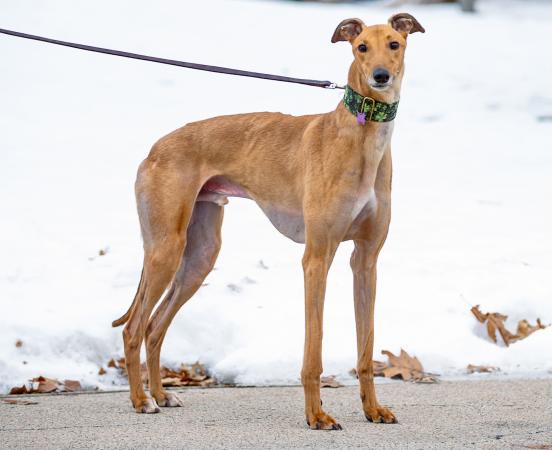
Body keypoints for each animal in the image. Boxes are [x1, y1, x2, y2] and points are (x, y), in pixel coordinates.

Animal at [112, 13, 424, 430]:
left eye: (394, 44)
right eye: (361, 47)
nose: (380, 77)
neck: (362, 138)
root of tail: (155, 148)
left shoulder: (366, 261)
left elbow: (365, 348)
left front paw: (372, 410)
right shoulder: (316, 258)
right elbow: (313, 352)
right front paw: (316, 416)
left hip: (199, 257)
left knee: (154, 326)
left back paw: (161, 394)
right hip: (166, 248)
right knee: (134, 327)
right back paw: (140, 400)